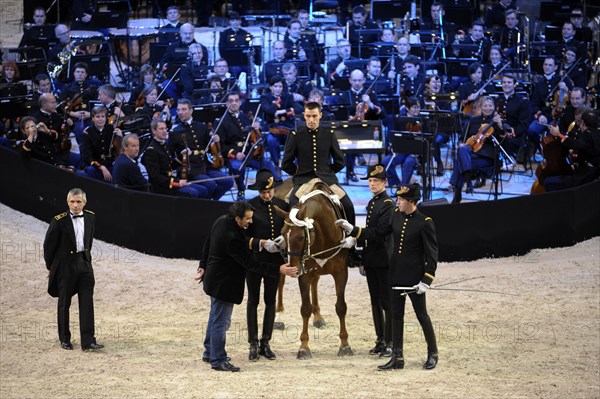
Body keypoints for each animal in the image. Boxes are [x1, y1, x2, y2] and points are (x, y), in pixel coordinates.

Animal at [276, 181, 354, 360]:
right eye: (283, 233)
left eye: (300, 237)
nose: (292, 268)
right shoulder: (304, 274)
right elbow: (305, 308)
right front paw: (304, 347)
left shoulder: (341, 273)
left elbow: (341, 307)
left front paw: (344, 345)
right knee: (280, 283)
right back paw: (279, 315)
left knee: (315, 282)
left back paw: (318, 316)